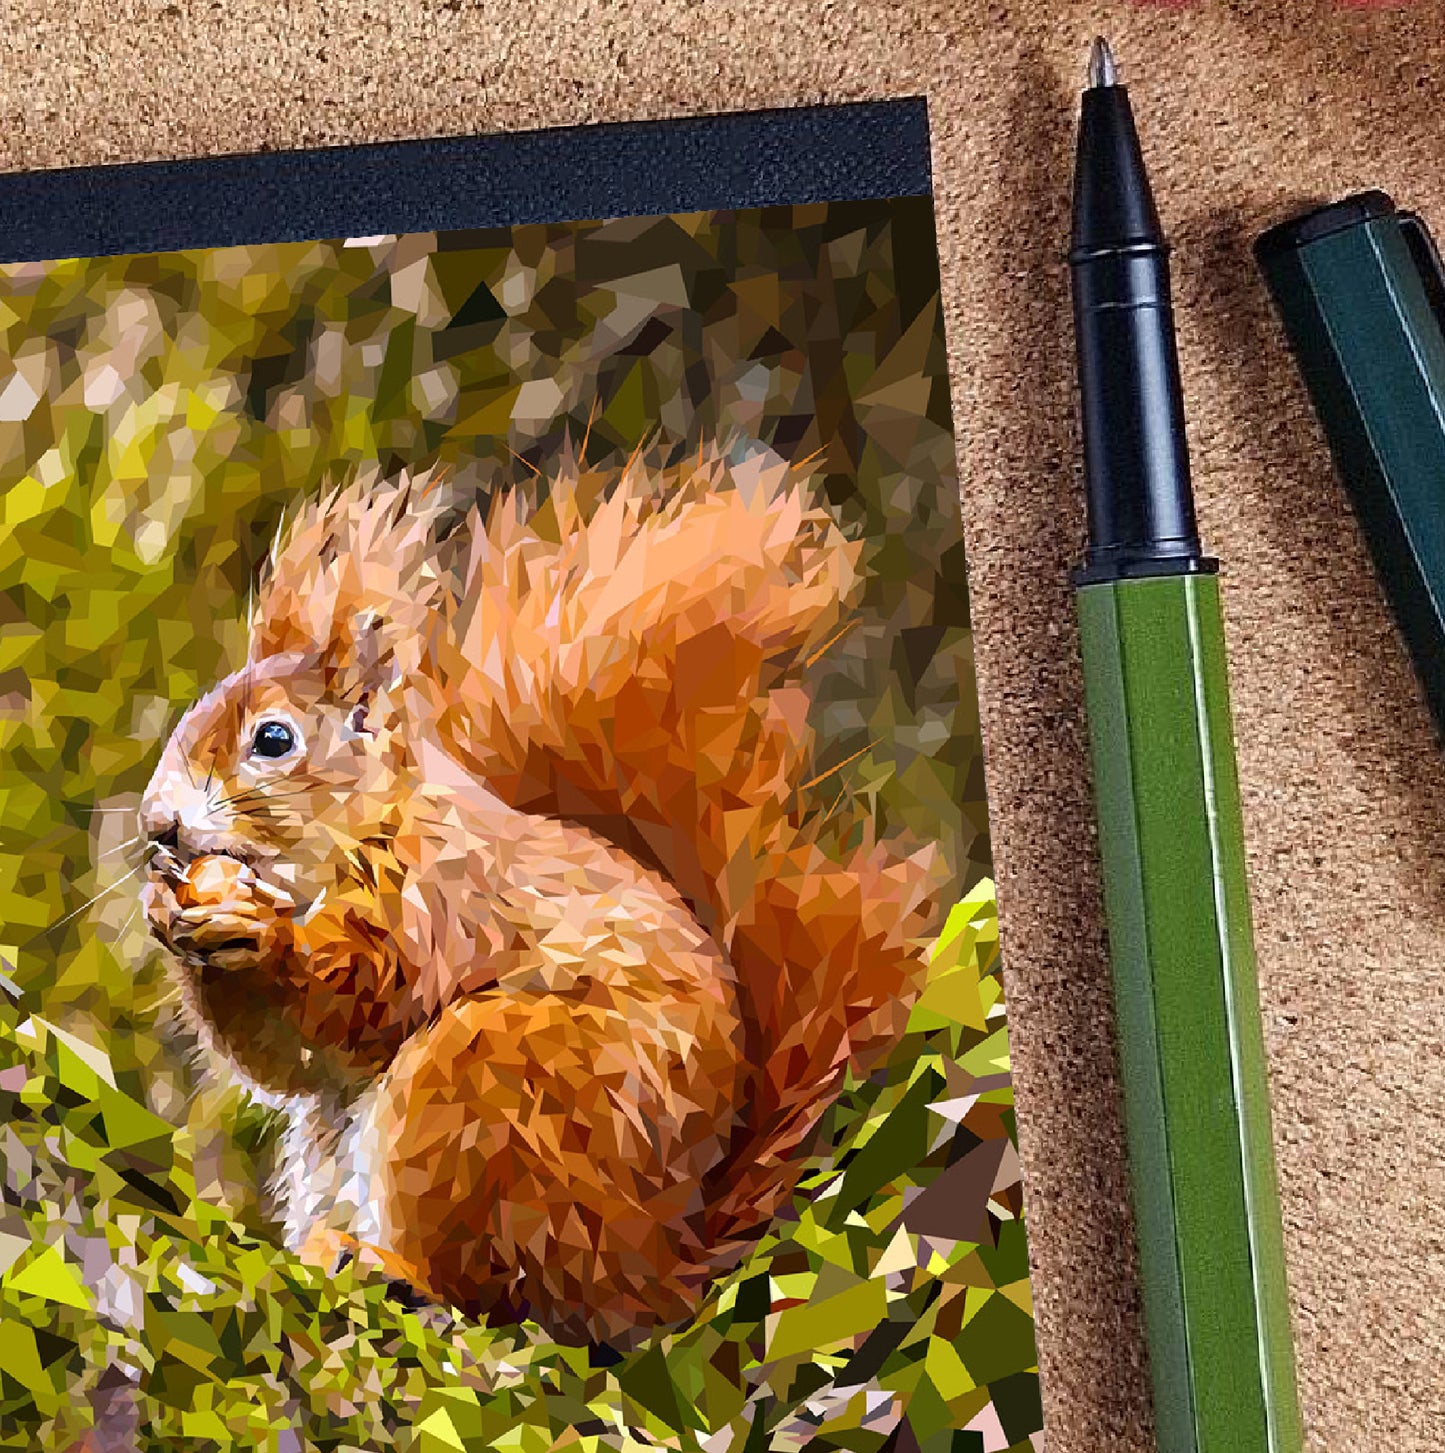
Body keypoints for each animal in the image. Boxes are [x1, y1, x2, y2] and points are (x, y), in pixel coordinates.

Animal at [138, 442, 949, 1347]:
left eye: (273, 739)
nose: (157, 825)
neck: (362, 831)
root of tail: (651, 1273)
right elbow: (286, 1058)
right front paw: (169, 917)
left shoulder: (438, 903)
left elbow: (354, 998)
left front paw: (259, 934)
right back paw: (329, 1251)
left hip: (483, 1094)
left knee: (493, 1291)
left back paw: (392, 1268)